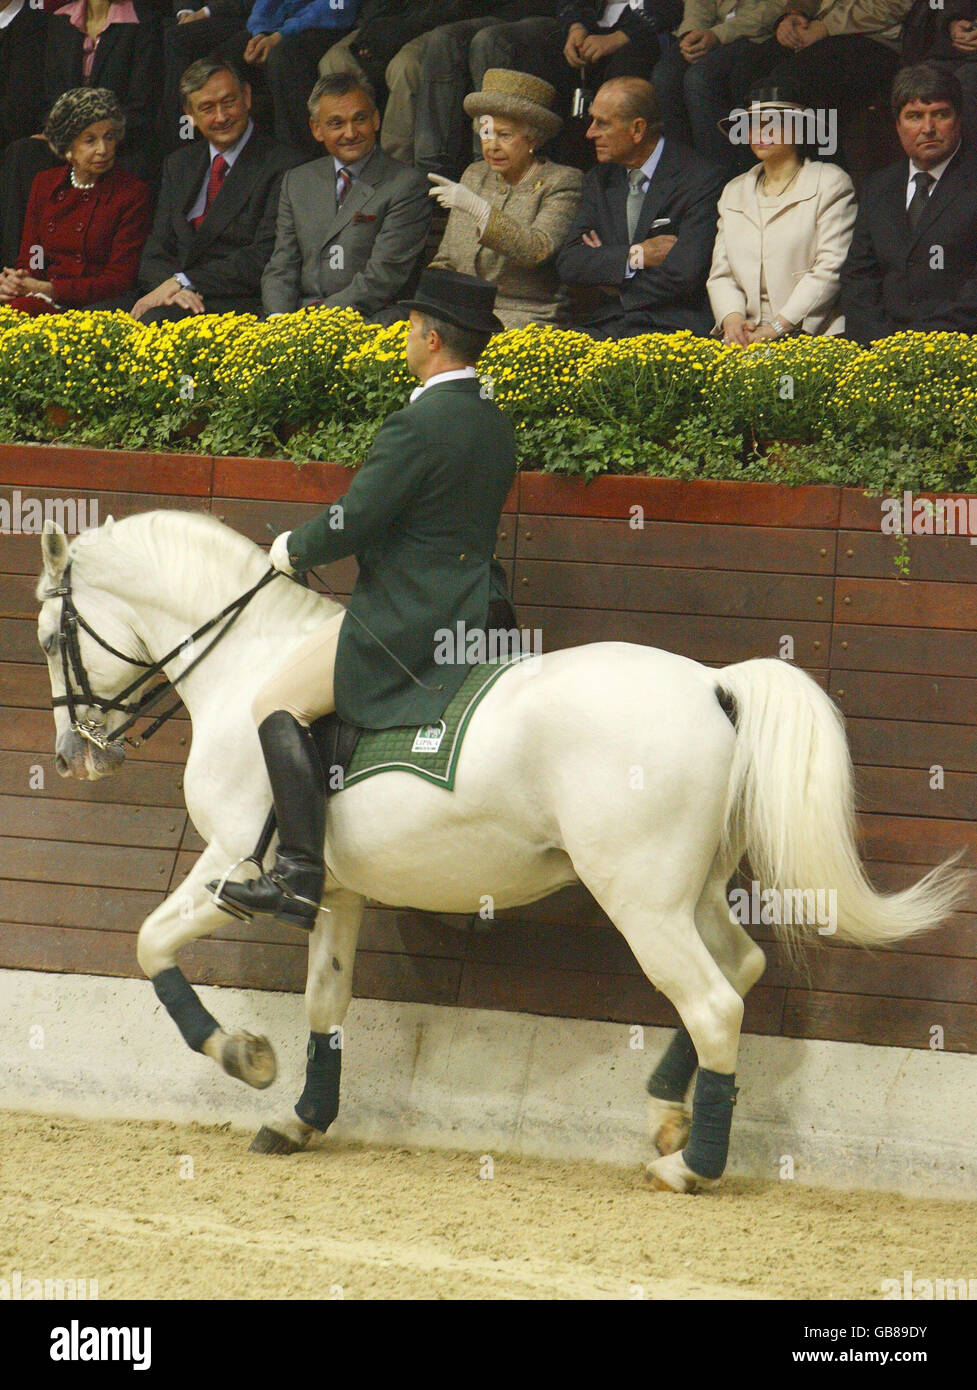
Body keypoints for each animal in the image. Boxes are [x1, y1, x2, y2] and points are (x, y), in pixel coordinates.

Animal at [34, 517, 967, 1189]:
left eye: (48, 638)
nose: (77, 755)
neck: (245, 662)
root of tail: (712, 684)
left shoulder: (230, 857)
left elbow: (149, 944)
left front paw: (239, 1055)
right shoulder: (334, 891)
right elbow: (325, 1003)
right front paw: (300, 1118)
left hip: (640, 898)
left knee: (712, 1003)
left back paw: (689, 1166)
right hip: (690, 889)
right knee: (738, 969)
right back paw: (667, 1110)